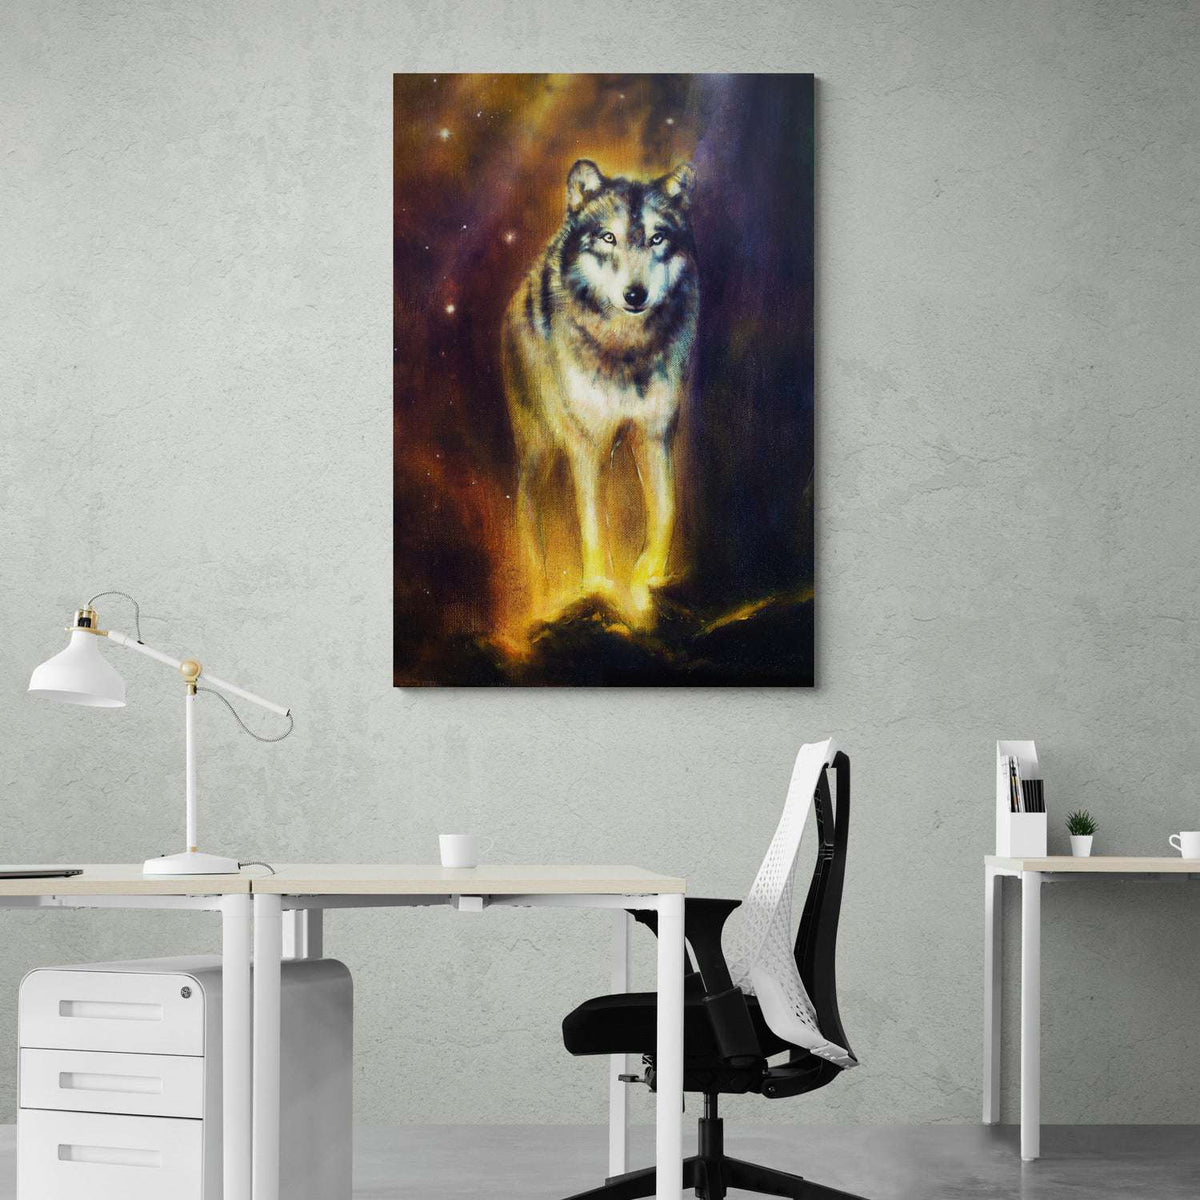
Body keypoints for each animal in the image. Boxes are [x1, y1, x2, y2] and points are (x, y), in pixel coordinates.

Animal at [502, 158, 699, 622]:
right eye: (608, 237)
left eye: (657, 238)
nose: (635, 294)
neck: (625, 348)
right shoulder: (588, 447)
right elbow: (593, 527)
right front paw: (597, 590)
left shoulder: (654, 435)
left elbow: (665, 510)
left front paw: (646, 577)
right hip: (538, 450)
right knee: (526, 511)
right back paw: (540, 598)